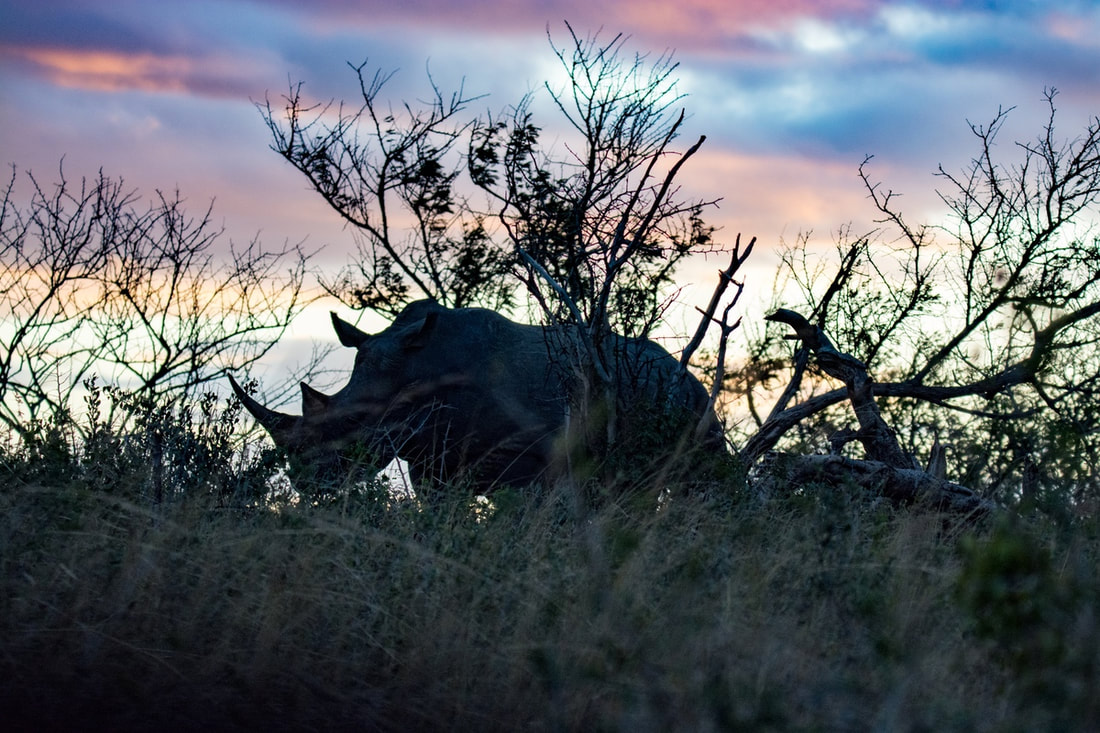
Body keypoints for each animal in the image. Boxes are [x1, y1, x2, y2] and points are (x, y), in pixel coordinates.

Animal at [231, 299, 723, 492]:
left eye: (354, 425)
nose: (304, 481)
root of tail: (683, 370)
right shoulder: (431, 462)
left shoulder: (535, 463)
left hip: (692, 401)